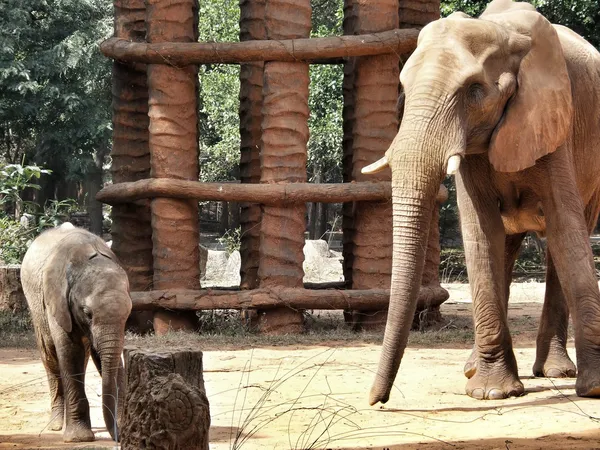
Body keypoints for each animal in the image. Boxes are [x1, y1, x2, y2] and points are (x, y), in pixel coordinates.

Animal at [20, 223, 131, 442]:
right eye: (87, 313)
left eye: (128, 314)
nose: (119, 435)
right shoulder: (56, 300)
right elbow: (70, 353)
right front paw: (79, 438)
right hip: (34, 304)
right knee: (50, 356)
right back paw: (55, 426)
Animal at [360, 0, 600, 404]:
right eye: (403, 89)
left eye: (474, 90)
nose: (377, 401)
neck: (504, 33)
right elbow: (480, 231)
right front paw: (492, 392)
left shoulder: (551, 119)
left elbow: (567, 229)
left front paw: (595, 387)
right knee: (502, 246)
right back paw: (476, 369)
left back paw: (554, 371)